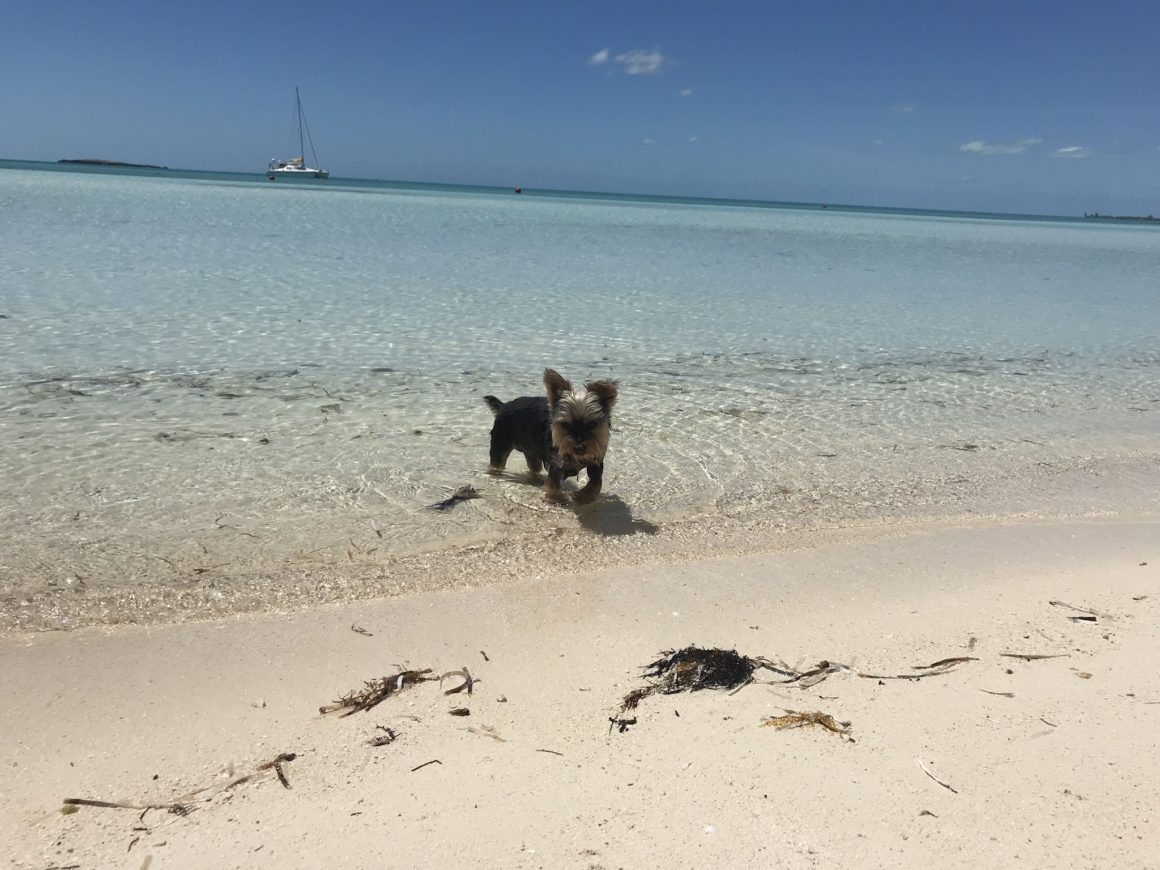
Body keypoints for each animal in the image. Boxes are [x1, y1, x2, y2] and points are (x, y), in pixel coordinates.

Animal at [484, 368, 618, 504]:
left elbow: (596, 482)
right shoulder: (555, 461)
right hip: (500, 442)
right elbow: (553, 484)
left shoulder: (596, 460)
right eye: (565, 424)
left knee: (534, 467)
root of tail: (503, 406)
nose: (579, 448)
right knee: (496, 464)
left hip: (531, 451)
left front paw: (583, 496)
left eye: (592, 424)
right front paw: (557, 498)